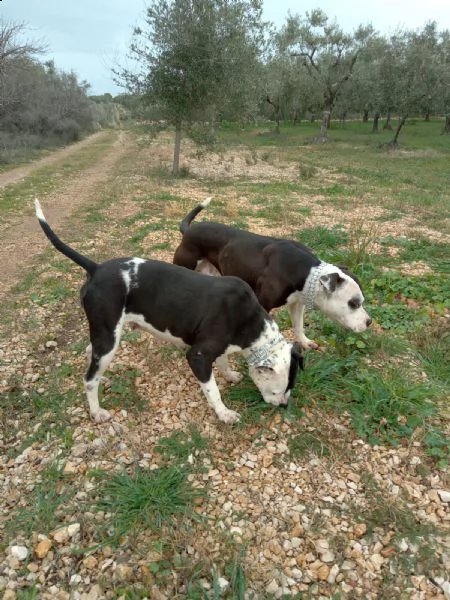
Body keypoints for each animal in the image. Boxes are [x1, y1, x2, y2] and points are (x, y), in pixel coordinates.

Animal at [33, 199, 300, 424]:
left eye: (290, 388)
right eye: (278, 390)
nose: (284, 405)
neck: (249, 319)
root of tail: (96, 267)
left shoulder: (219, 346)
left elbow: (223, 362)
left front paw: (230, 375)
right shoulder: (198, 356)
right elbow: (212, 390)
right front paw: (224, 413)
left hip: (106, 335)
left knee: (91, 357)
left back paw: (103, 378)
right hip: (108, 337)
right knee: (89, 379)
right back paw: (97, 411)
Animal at [174, 199, 370, 350]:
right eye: (353, 303)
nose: (369, 322)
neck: (305, 271)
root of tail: (189, 230)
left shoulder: (297, 303)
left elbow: (298, 325)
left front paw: (304, 342)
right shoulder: (263, 303)